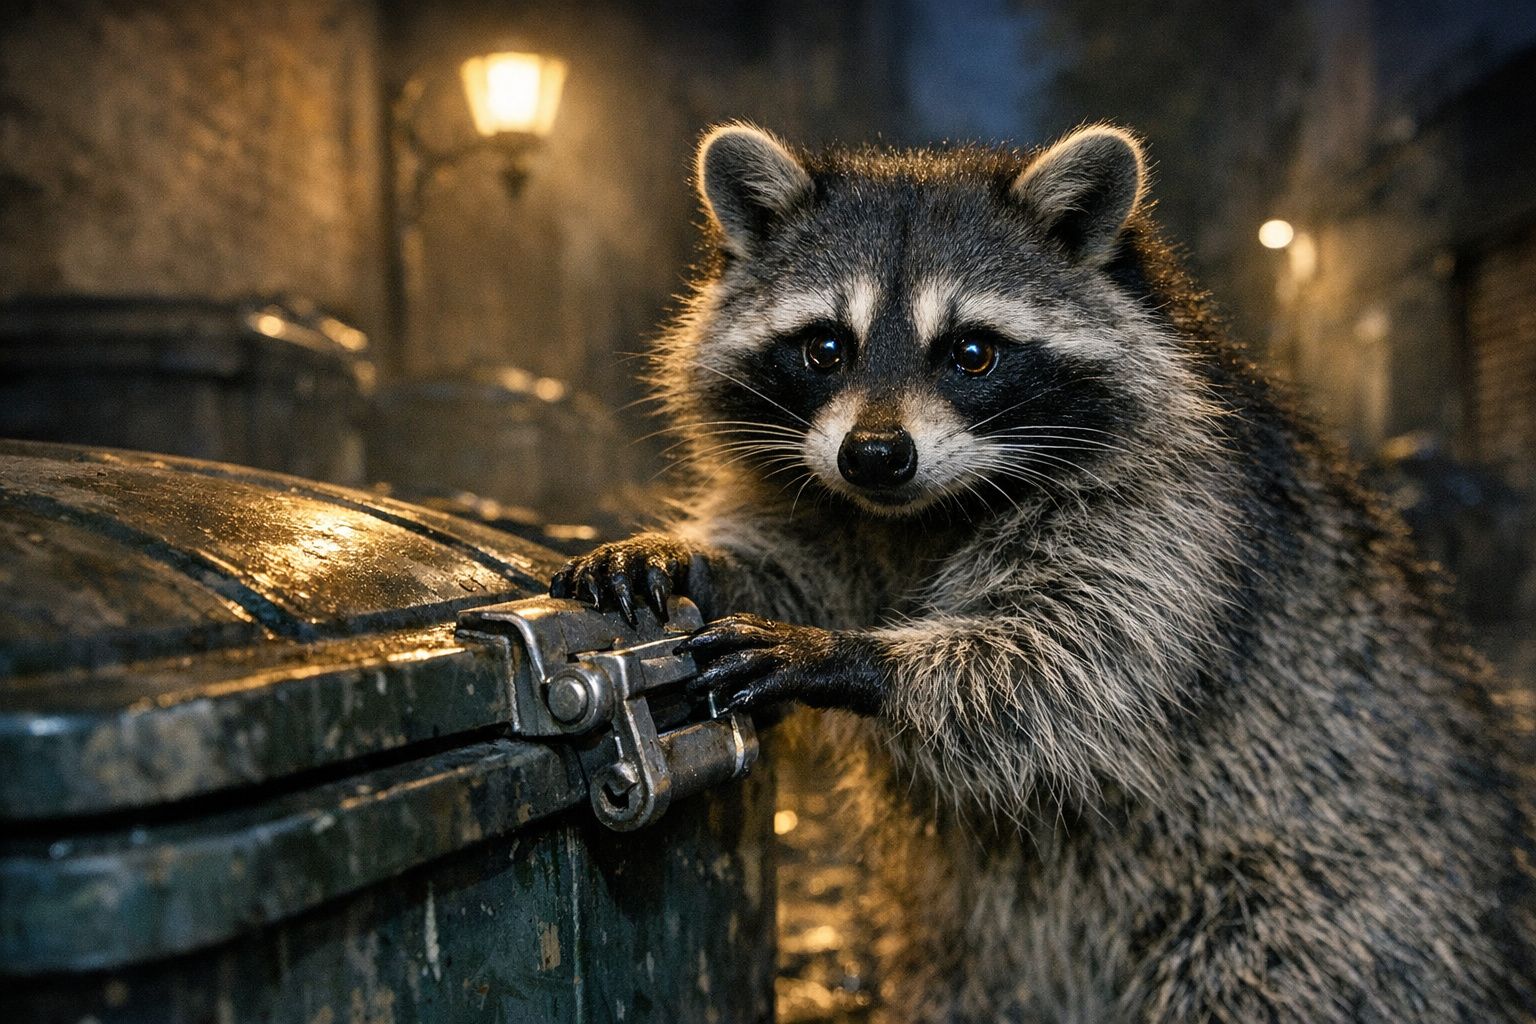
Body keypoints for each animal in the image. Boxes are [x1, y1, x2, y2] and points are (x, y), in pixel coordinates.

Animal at [550, 123, 1536, 1022]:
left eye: (972, 352)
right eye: (825, 347)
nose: (875, 455)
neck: (920, 516)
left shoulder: (1179, 516)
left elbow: (1080, 659)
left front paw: (857, 658)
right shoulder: (838, 511)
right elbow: (796, 559)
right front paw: (694, 558)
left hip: (1334, 903)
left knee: (1264, 968)